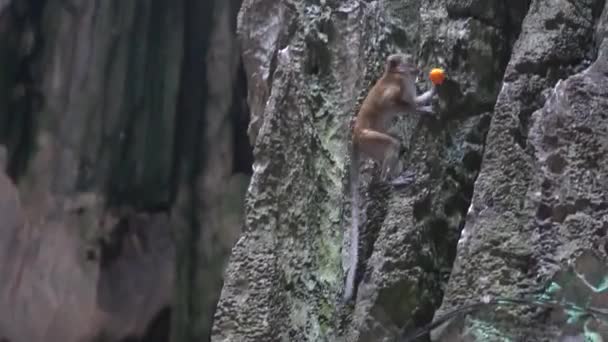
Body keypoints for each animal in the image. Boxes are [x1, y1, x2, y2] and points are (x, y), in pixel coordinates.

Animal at [342, 52, 436, 302]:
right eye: (409, 61)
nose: (417, 69)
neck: (395, 74)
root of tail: (355, 138)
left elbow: (416, 99)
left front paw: (434, 90)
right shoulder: (396, 88)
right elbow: (400, 104)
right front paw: (422, 110)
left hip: (373, 145)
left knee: (397, 144)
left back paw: (399, 173)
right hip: (371, 140)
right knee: (392, 145)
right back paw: (392, 180)